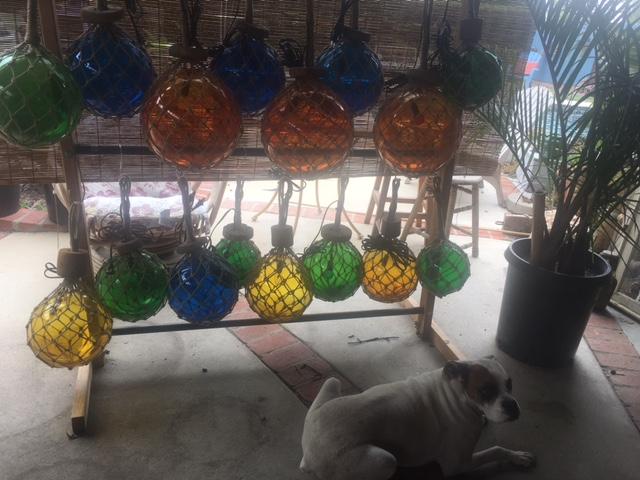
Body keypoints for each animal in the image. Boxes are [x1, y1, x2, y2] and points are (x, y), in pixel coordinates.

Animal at [300, 357, 535, 480]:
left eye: (510, 384)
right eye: (485, 391)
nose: (512, 405)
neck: (457, 392)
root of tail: (308, 457)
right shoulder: (458, 465)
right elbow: (496, 449)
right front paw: (517, 456)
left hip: (331, 382)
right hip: (385, 460)